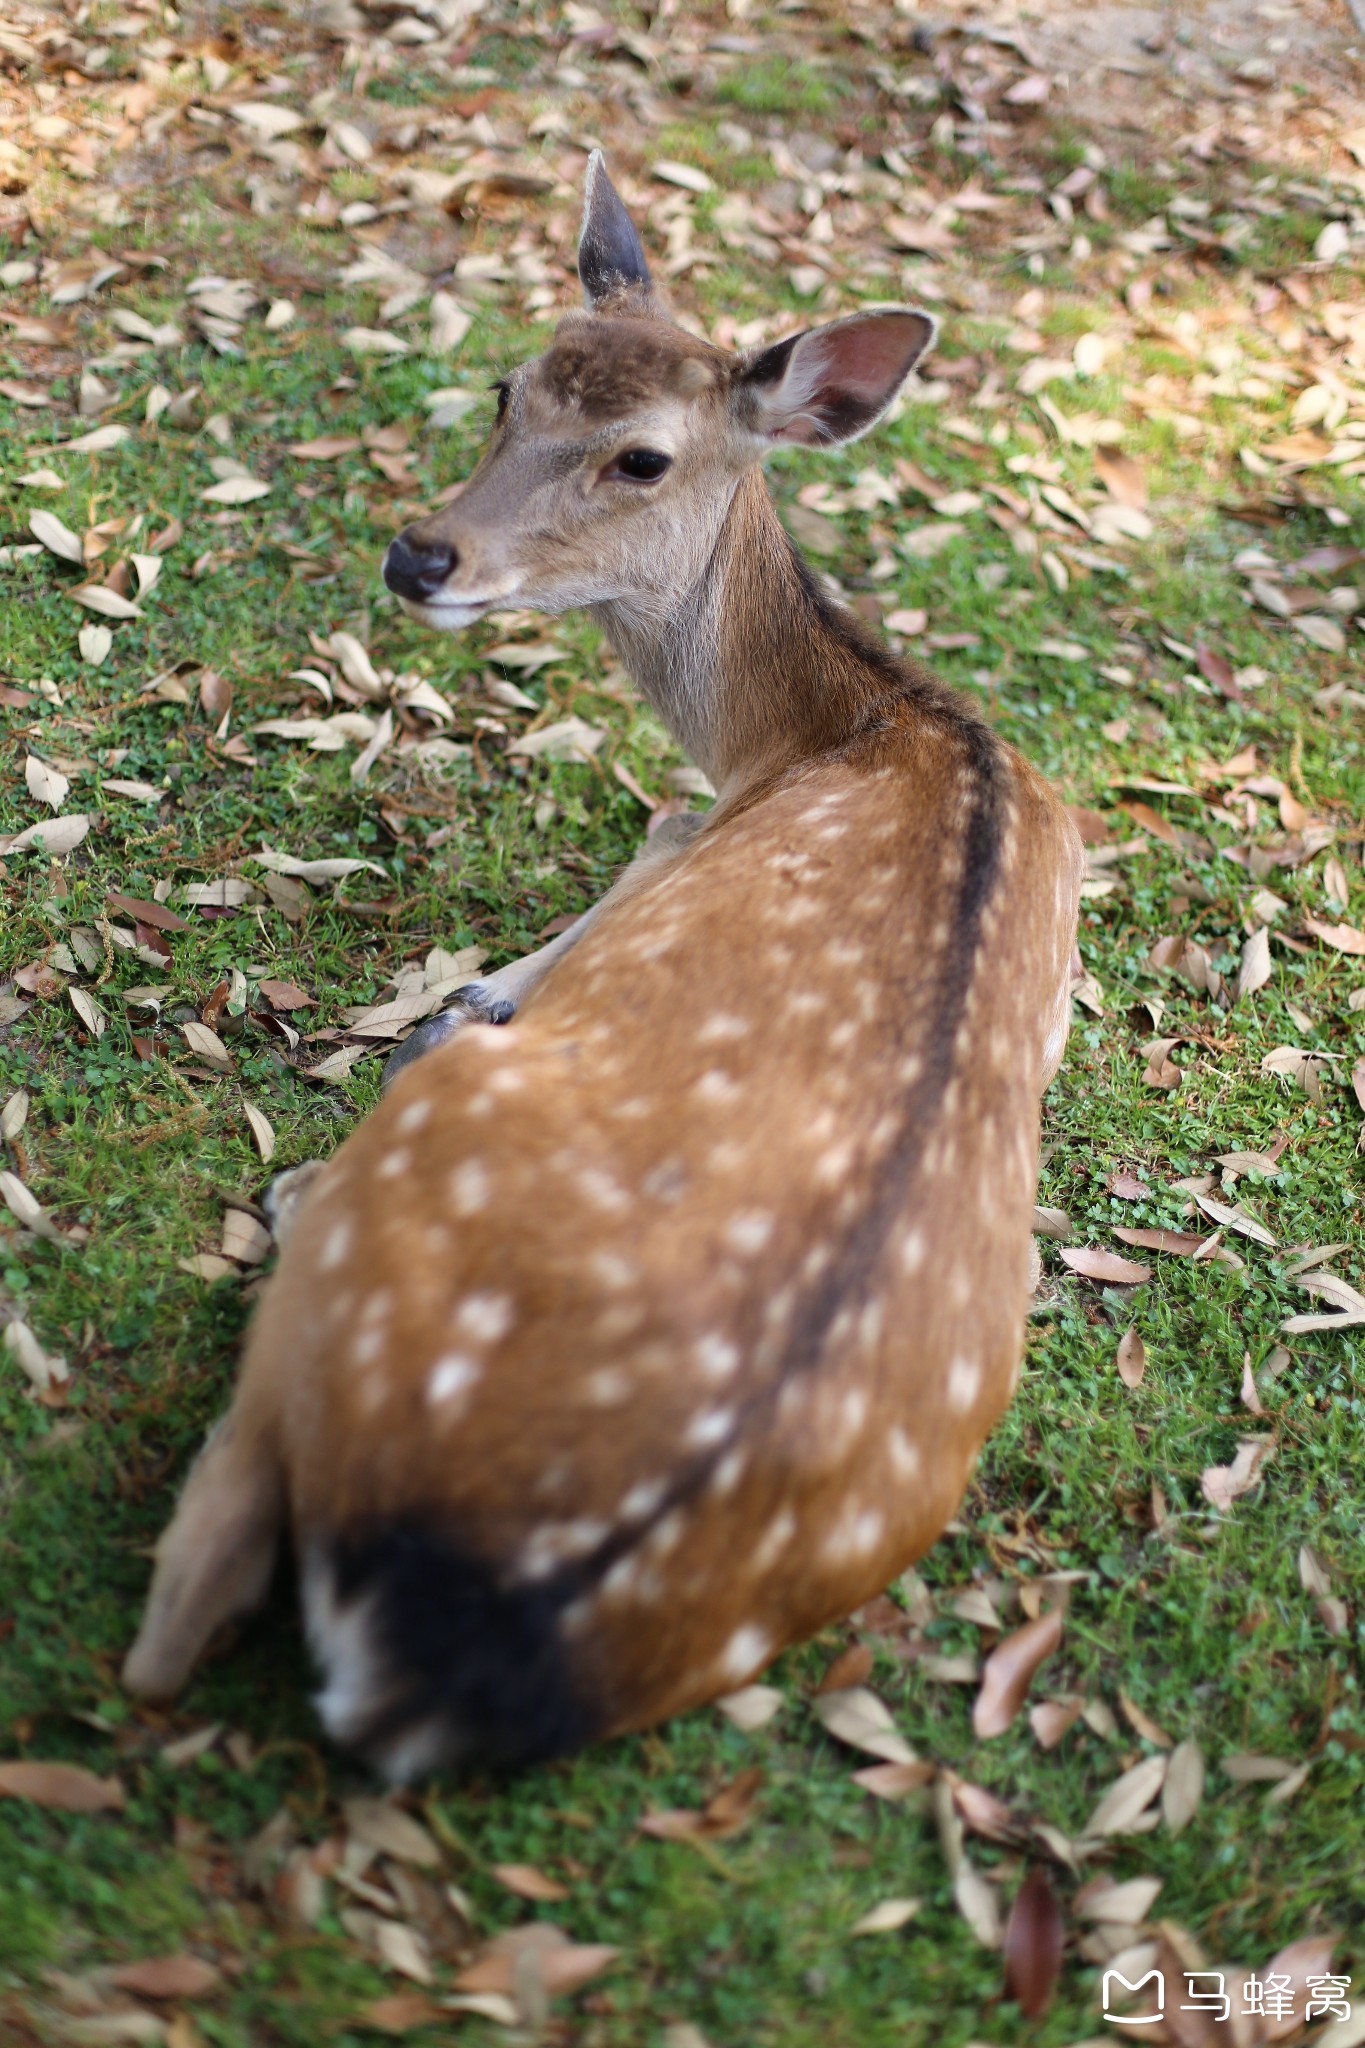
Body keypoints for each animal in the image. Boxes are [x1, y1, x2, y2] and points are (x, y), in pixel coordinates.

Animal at [127, 155, 1088, 1777]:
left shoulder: (684, 832)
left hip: (402, 1202)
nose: (419, 553)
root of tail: (473, 1630)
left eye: (640, 458)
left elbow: (646, 831)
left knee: (172, 1616)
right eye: (507, 387)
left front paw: (465, 992)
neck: (818, 728)